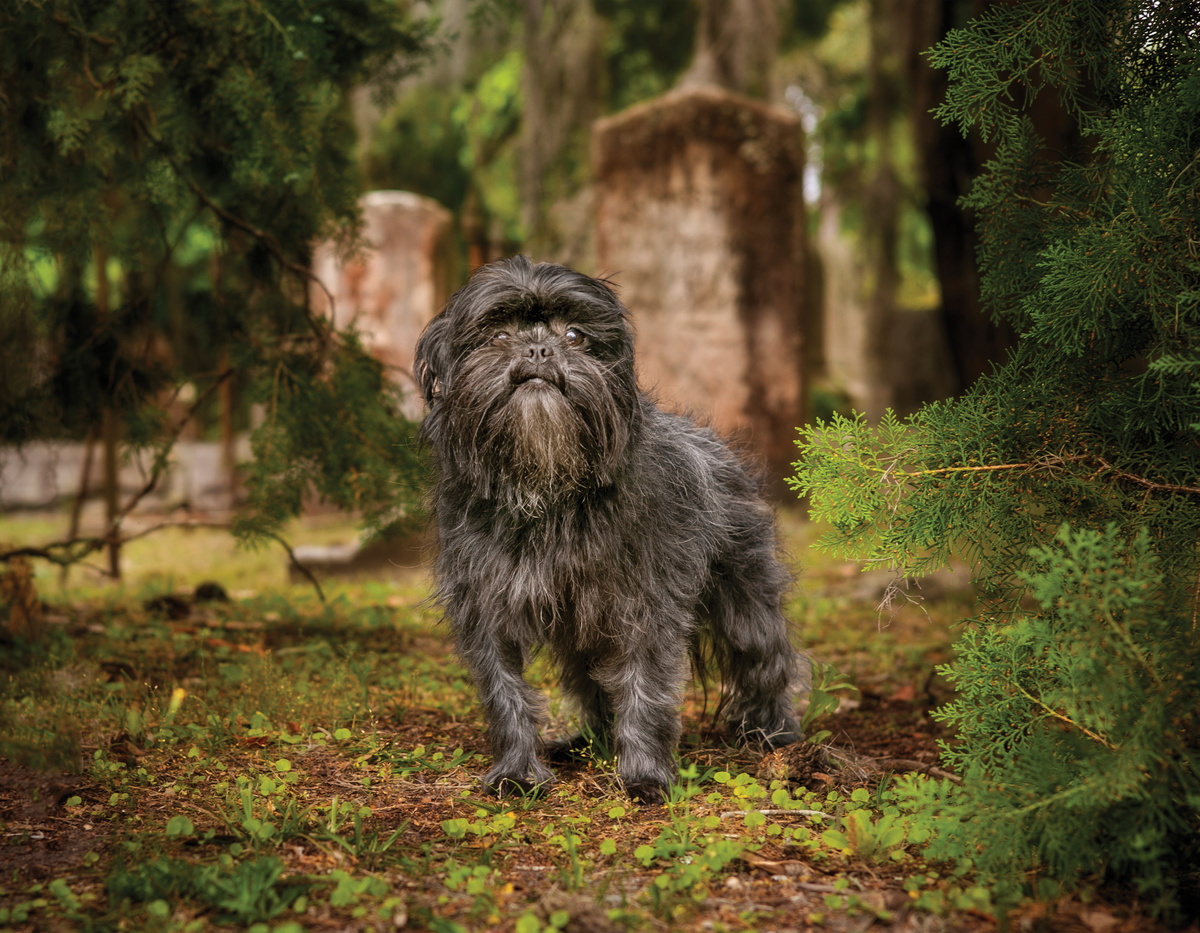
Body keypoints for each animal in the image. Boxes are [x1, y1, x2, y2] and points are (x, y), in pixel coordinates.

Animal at [415, 254, 806, 801]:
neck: (548, 492)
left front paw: (645, 776)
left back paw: (773, 733)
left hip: (745, 603)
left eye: (576, 336)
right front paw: (517, 771)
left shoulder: (645, 608)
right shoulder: (487, 608)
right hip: (582, 636)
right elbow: (504, 691)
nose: (540, 348)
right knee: (592, 683)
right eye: (497, 335)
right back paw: (586, 742)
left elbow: (644, 689)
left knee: (766, 661)